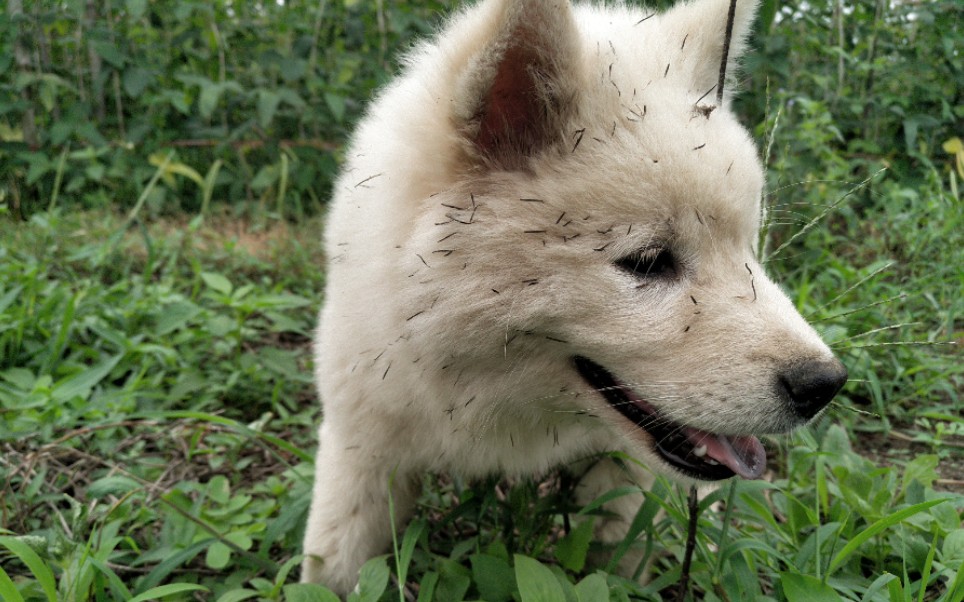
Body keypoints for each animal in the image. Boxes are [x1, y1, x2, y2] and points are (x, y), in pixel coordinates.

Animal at [302, 0, 844, 592]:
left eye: (749, 248)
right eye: (648, 262)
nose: (824, 385)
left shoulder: (625, 473)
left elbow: (619, 563)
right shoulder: (363, 442)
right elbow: (333, 565)